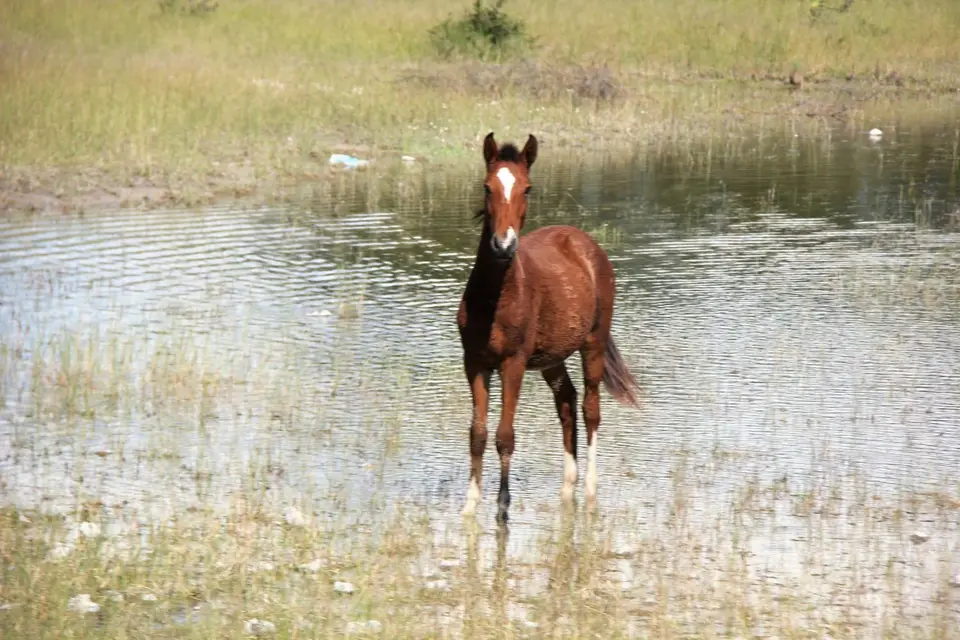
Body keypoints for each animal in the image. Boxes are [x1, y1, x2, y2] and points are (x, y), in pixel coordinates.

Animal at [457, 132, 641, 523]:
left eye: (527, 188)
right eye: (486, 186)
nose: (503, 245)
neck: (495, 297)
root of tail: (584, 241)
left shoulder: (512, 363)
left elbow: (504, 435)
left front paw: (503, 507)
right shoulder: (474, 363)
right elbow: (477, 434)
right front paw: (469, 507)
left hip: (593, 343)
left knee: (590, 408)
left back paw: (589, 490)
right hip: (551, 359)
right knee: (566, 401)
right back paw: (567, 486)